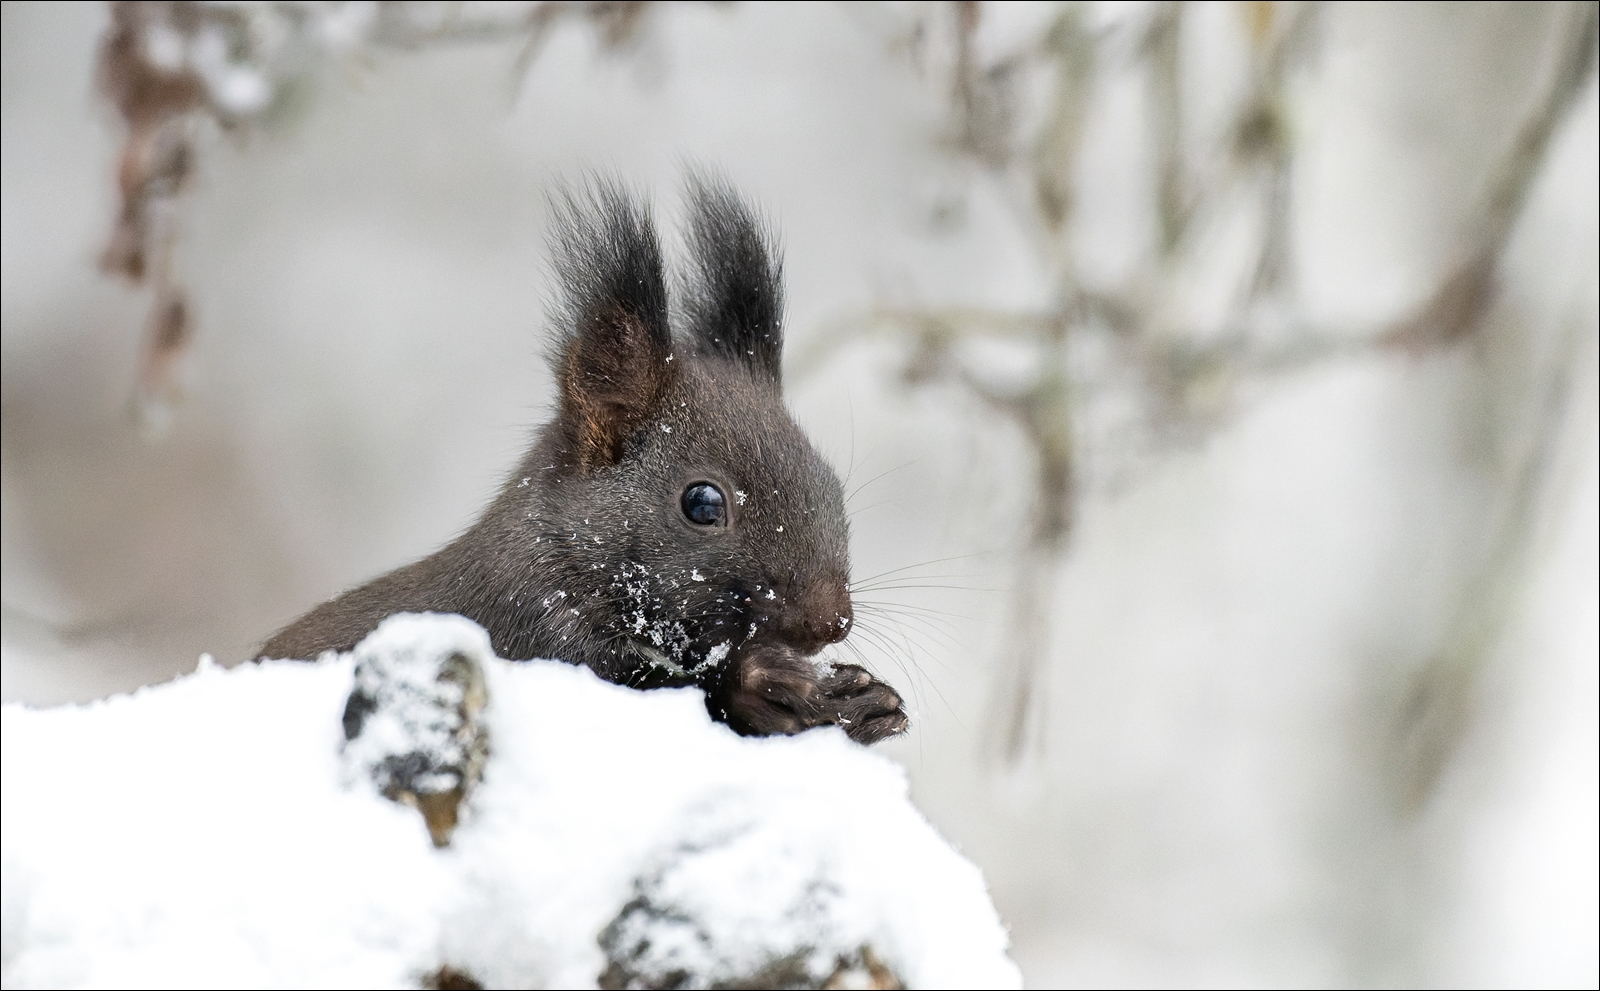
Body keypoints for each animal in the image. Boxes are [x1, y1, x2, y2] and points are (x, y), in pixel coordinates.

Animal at [264, 176, 915, 742]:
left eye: (830, 484)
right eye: (703, 504)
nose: (831, 622)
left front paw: (866, 704)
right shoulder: (529, 639)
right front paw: (773, 687)